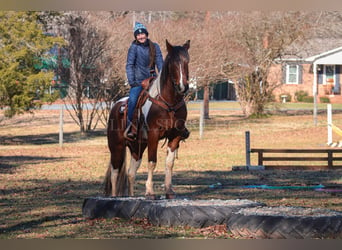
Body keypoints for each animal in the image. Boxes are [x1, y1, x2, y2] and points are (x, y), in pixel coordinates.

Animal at [104, 39, 190, 199]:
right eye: (172, 62)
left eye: (187, 60)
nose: (183, 86)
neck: (169, 103)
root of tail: (116, 105)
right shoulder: (153, 135)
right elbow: (152, 162)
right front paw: (150, 192)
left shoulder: (175, 136)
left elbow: (169, 163)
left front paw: (169, 191)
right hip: (116, 146)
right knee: (115, 171)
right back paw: (113, 197)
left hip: (137, 147)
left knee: (131, 173)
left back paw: (131, 196)